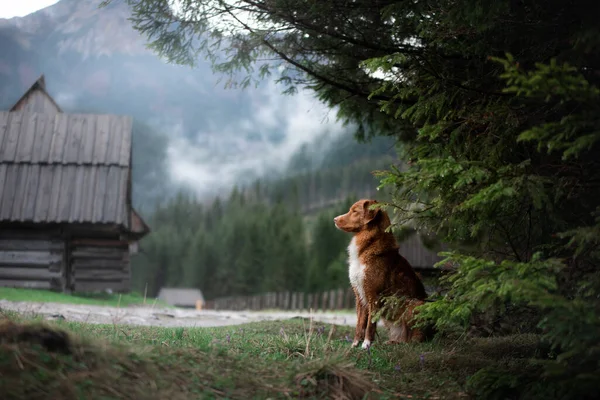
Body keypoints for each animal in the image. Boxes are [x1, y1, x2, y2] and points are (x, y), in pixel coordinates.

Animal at [332, 199, 426, 346]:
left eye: (354, 211)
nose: (334, 219)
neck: (368, 246)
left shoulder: (374, 296)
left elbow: (370, 324)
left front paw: (366, 345)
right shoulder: (359, 296)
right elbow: (360, 324)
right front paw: (355, 344)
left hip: (416, 304)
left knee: (417, 337)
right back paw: (393, 341)